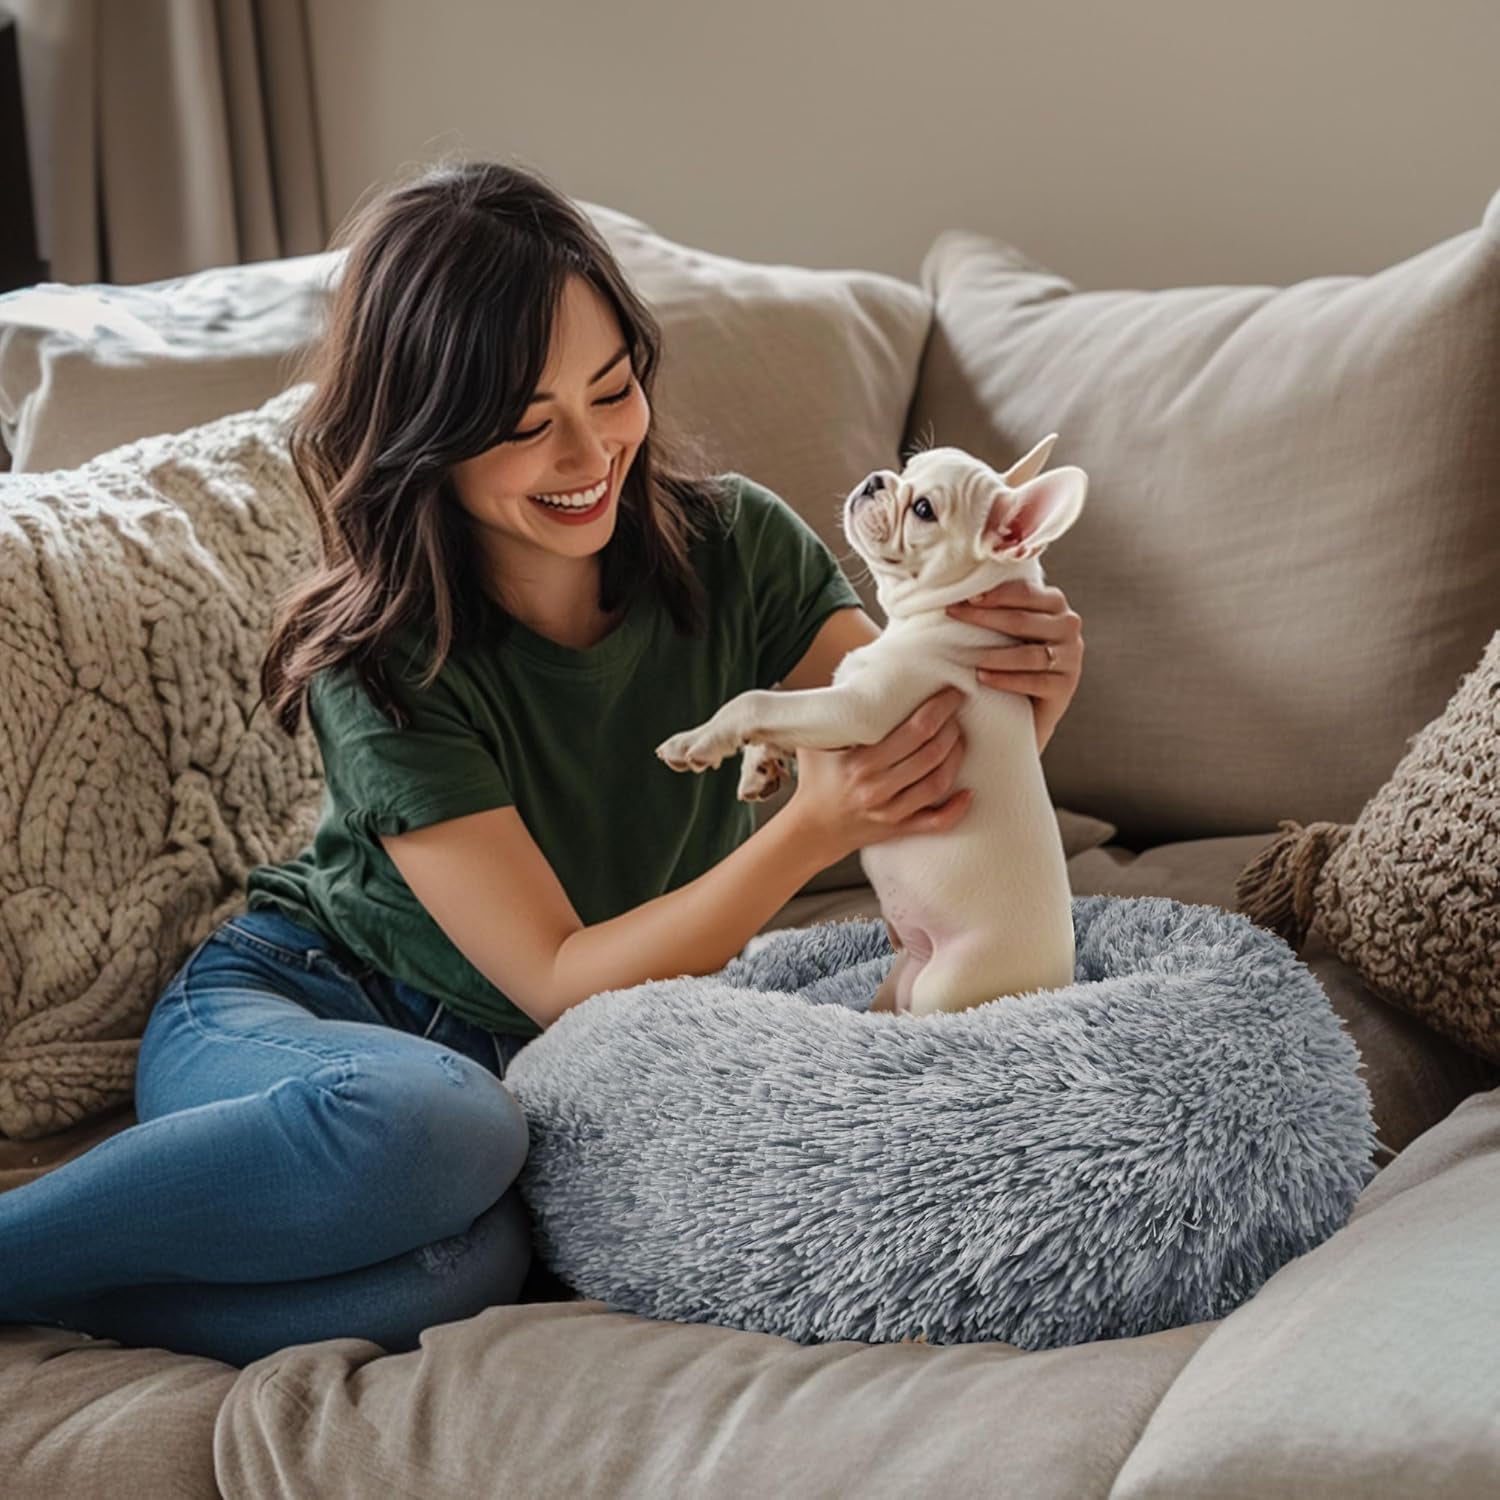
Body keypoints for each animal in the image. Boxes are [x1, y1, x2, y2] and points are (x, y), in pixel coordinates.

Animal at [663, 435, 1086, 1020]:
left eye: (924, 509)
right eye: (908, 465)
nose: (876, 481)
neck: (937, 616)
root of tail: (1059, 984)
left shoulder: (854, 709)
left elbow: (756, 700)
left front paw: (699, 740)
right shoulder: (829, 701)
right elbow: (776, 714)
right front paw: (759, 767)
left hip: (948, 984)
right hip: (901, 973)